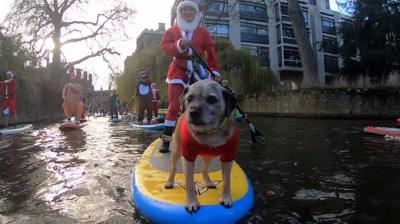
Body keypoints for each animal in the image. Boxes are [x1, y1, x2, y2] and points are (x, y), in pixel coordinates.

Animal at [164, 79, 239, 213]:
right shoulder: (188, 157)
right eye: (190, 98)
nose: (193, 112)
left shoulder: (228, 158)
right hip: (176, 151)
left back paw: (208, 182)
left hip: (209, 157)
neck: (209, 133)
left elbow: (227, 181)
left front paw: (226, 197)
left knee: (204, 170)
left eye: (211, 99)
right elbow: (189, 183)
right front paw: (191, 202)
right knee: (173, 168)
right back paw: (170, 182)